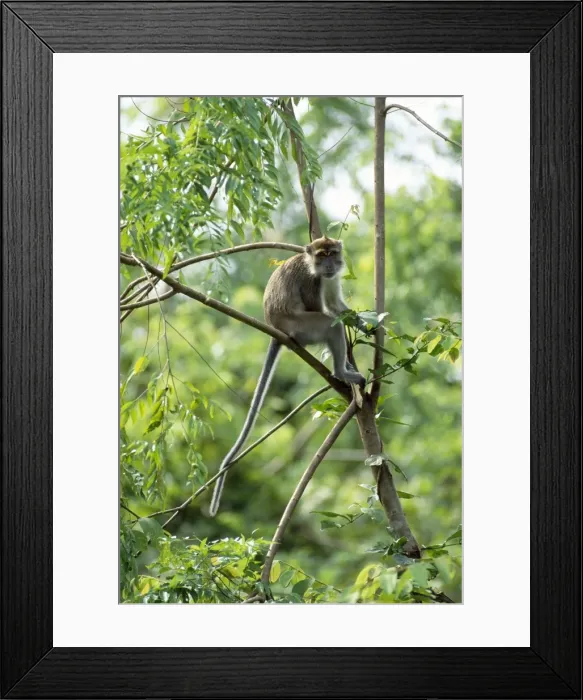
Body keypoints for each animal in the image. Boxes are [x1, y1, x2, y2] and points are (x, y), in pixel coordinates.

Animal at [209, 236, 365, 517]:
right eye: (321, 255)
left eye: (332, 254)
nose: (328, 265)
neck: (315, 269)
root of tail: (276, 329)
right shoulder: (312, 281)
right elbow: (326, 311)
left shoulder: (330, 279)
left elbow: (336, 305)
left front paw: (365, 324)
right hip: (300, 327)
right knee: (329, 326)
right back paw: (341, 371)